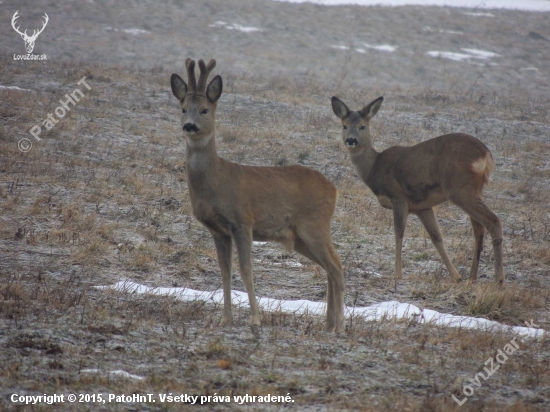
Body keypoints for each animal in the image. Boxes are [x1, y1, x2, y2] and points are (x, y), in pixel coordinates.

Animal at [172, 58, 344, 332]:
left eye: (205, 110)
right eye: (183, 108)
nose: (189, 125)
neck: (216, 180)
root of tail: (334, 189)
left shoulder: (242, 221)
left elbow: (246, 269)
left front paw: (255, 319)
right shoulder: (218, 230)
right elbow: (225, 271)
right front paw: (225, 318)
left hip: (315, 225)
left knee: (337, 267)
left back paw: (339, 326)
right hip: (300, 237)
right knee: (330, 267)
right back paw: (328, 324)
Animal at [332, 96, 504, 284]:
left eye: (362, 126)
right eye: (344, 125)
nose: (351, 140)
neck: (374, 168)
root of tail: (486, 155)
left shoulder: (398, 196)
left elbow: (398, 233)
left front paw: (397, 274)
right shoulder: (423, 207)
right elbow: (436, 237)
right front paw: (455, 275)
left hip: (460, 188)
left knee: (493, 221)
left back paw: (499, 280)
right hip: (474, 190)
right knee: (478, 229)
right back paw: (472, 277)